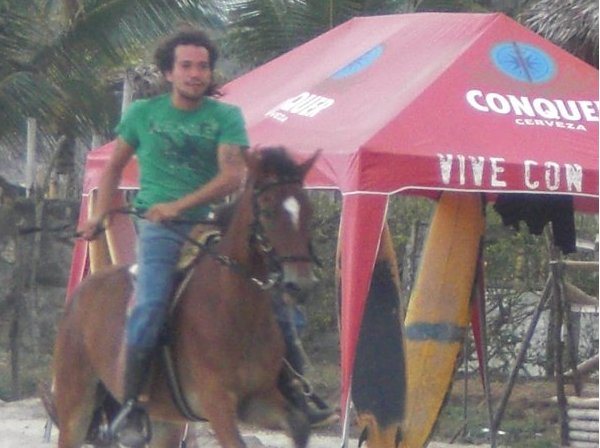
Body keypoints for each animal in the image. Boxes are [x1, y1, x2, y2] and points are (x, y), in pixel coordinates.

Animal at [52, 145, 318, 446]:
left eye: (309, 211)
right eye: (269, 210)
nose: (300, 284)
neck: (233, 306)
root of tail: (80, 294)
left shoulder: (258, 399)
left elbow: (299, 424)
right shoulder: (216, 403)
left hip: (165, 420)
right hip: (75, 405)